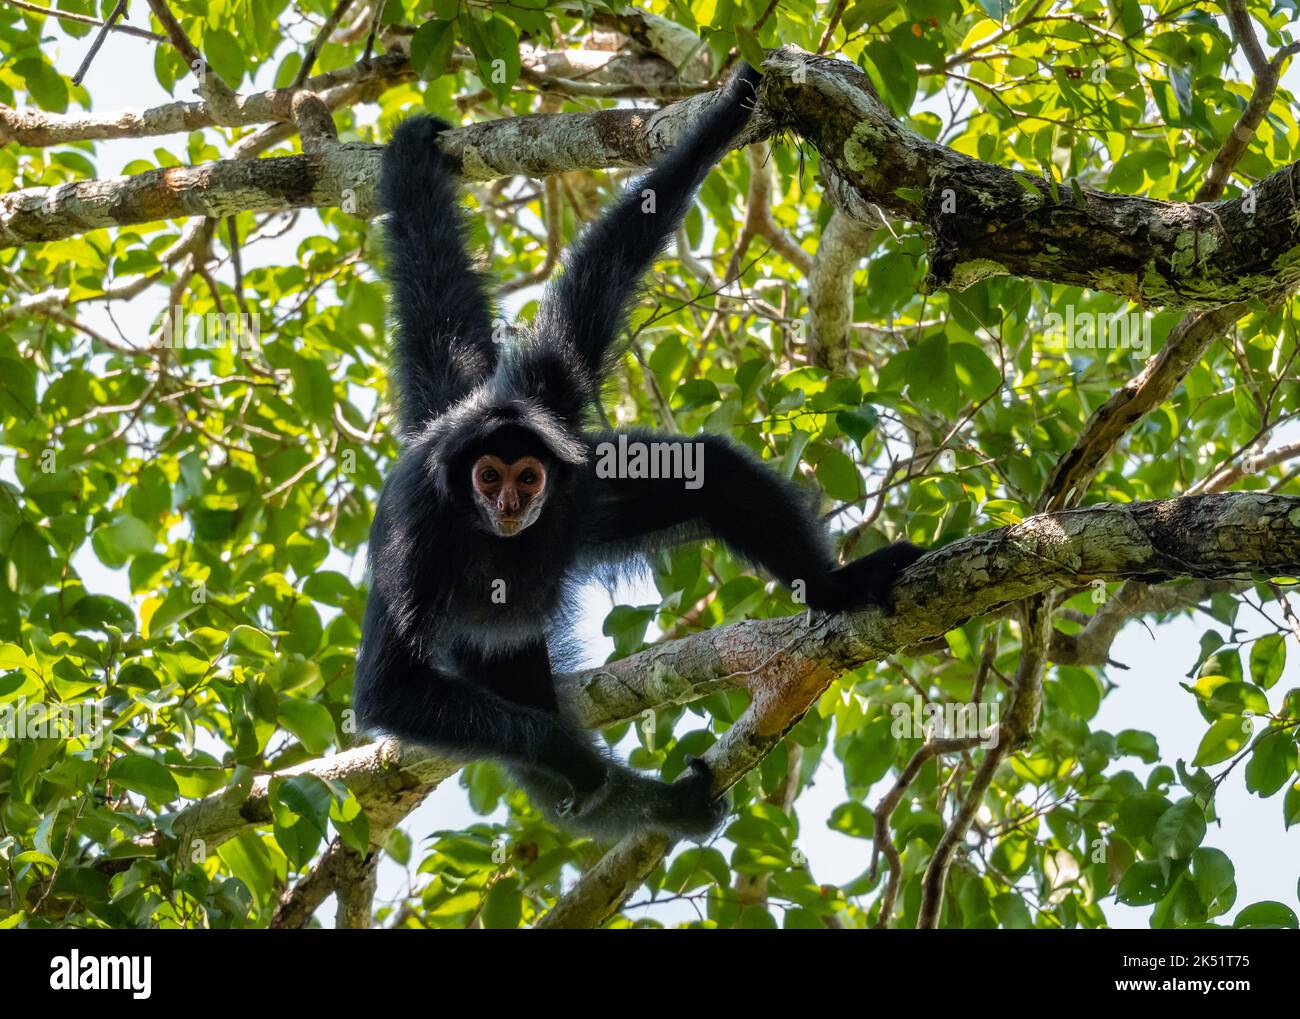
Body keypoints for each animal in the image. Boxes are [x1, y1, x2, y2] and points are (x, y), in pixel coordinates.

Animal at [356, 65, 925, 842]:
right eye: (488, 476)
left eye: (525, 475)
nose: (512, 501)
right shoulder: (417, 523)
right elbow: (388, 692)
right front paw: (565, 752)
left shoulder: (557, 430)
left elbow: (605, 277)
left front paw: (728, 114)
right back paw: (642, 801)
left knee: (710, 474)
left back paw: (832, 592)